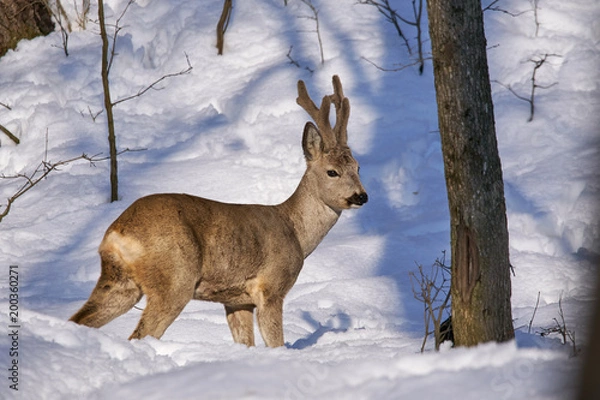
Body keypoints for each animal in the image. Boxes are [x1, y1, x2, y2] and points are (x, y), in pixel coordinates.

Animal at [71, 76, 370, 346]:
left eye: (357, 167)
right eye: (332, 172)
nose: (361, 196)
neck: (295, 231)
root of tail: (117, 232)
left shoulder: (237, 300)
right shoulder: (270, 288)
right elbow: (276, 343)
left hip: (119, 282)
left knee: (79, 319)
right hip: (175, 279)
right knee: (140, 334)